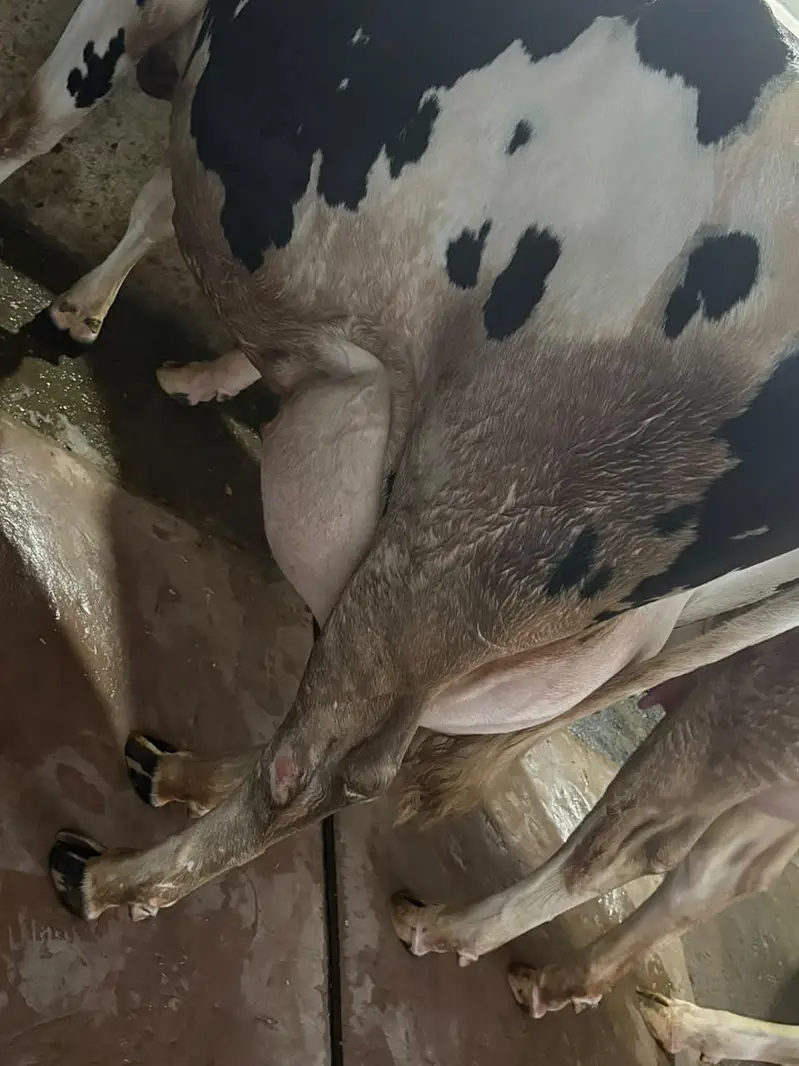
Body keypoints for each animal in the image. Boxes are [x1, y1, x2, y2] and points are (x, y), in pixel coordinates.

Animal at [4, 0, 799, 1024]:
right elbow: (155, 196)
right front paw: (110, 321)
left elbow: (36, 119)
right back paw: (184, 778)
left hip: (474, 532)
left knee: (322, 773)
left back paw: (108, 878)